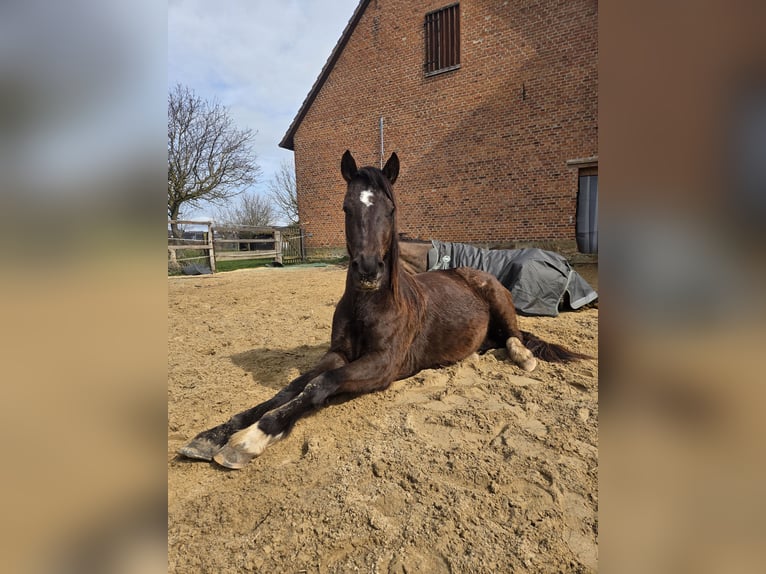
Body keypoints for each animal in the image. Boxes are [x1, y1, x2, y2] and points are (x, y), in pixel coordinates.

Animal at [178, 150, 589, 469]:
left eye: (390, 208)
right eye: (346, 207)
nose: (368, 270)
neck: (372, 303)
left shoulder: (383, 363)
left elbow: (318, 386)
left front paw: (250, 439)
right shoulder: (339, 354)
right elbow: (293, 386)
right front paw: (213, 435)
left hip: (499, 298)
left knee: (516, 337)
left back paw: (525, 359)